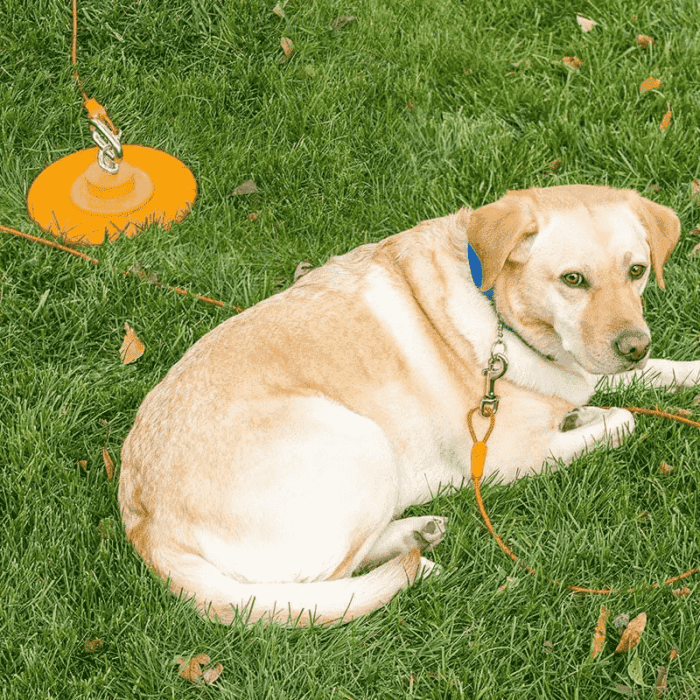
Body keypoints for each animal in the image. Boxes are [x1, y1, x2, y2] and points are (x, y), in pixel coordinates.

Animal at [119, 185, 700, 624]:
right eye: (573, 280)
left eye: (638, 271)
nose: (633, 344)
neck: (501, 314)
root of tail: (146, 523)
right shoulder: (509, 461)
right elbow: (622, 422)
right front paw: (596, 415)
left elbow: (649, 375)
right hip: (363, 443)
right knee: (323, 583)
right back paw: (412, 561)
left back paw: (416, 533)